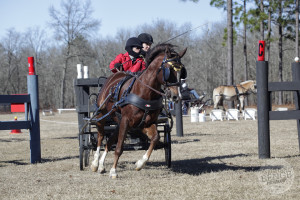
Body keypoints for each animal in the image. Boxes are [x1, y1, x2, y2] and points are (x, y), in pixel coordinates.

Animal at [90, 44, 186, 178]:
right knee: (100, 136)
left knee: (109, 140)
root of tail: (114, 76)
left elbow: (155, 138)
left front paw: (140, 163)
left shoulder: (144, 123)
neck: (144, 92)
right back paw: (95, 163)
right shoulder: (126, 121)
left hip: (119, 121)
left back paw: (101, 166)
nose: (176, 96)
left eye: (182, 71)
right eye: (168, 70)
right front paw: (113, 171)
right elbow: (119, 148)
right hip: (101, 115)